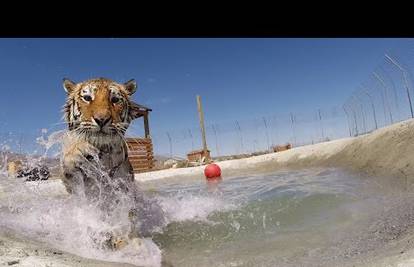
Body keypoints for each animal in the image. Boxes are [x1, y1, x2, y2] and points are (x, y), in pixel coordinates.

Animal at [60, 77, 164, 251]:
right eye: (87, 98)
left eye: (115, 100)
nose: (101, 119)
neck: (103, 153)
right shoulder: (75, 185)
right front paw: (78, 150)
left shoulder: (125, 186)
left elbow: (127, 217)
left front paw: (130, 243)